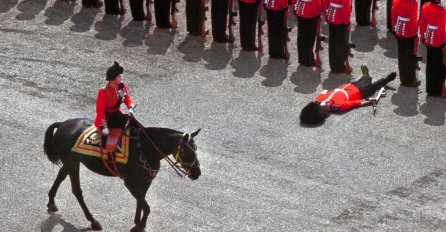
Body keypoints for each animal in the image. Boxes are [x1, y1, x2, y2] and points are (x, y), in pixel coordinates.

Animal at [43, 118, 200, 232]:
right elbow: (146, 206)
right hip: (72, 163)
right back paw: (93, 220)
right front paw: (140, 225)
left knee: (61, 176)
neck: (144, 148)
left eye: (196, 148)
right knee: (77, 190)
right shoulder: (130, 183)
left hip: (70, 163)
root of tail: (63, 124)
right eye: (187, 151)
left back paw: (51, 202)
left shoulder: (146, 181)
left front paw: (137, 222)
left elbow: (141, 202)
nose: (197, 173)